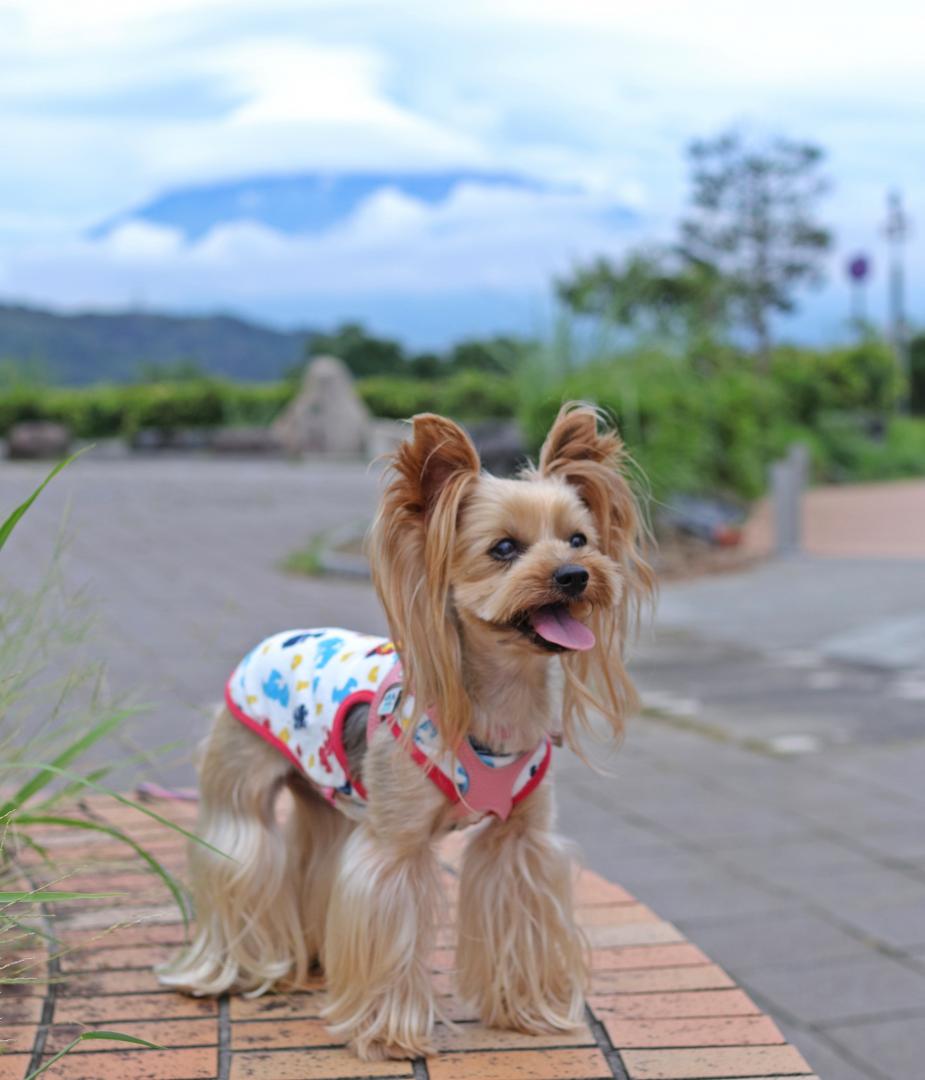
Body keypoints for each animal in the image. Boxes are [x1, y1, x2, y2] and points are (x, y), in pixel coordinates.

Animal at [156, 401, 648, 1058]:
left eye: (580, 539)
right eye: (504, 548)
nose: (574, 574)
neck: (500, 696)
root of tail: (269, 642)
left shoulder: (519, 839)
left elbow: (517, 904)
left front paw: (528, 1011)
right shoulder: (395, 846)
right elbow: (389, 920)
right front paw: (391, 1033)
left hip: (332, 798)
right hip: (242, 781)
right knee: (240, 851)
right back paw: (232, 970)